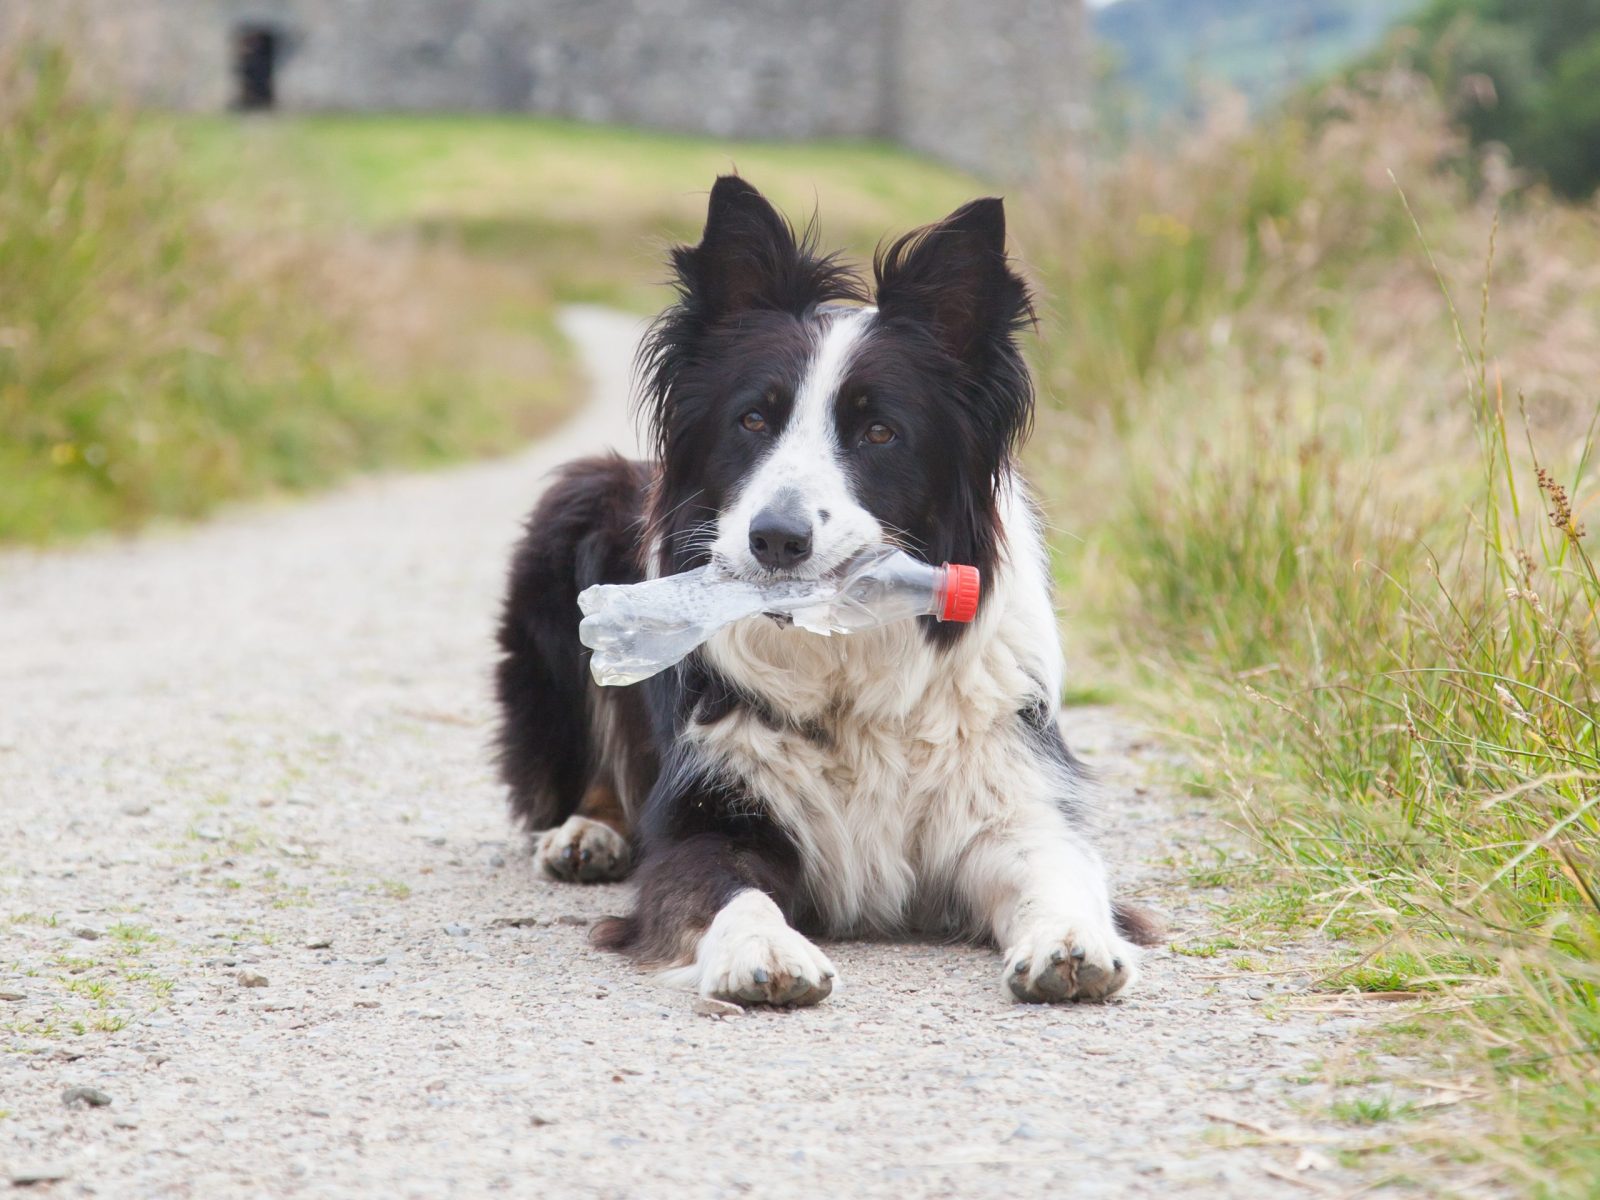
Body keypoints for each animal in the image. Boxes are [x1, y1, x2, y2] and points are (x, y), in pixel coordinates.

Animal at [492, 176, 1158, 1004]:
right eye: (753, 419)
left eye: (880, 434)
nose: (777, 539)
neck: (842, 665)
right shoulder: (708, 816)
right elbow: (727, 890)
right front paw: (764, 950)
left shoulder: (1009, 804)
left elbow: (1060, 869)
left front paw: (1071, 940)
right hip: (573, 510)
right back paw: (586, 833)